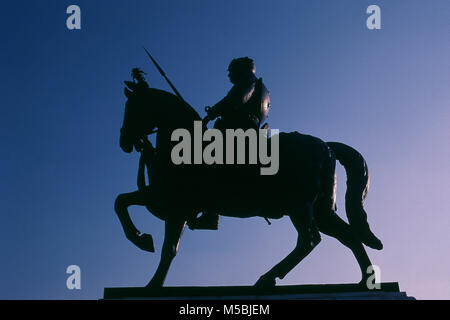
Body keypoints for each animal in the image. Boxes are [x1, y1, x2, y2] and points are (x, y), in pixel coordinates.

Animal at [114, 86, 382, 288]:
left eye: (133, 108)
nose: (124, 141)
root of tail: (326, 146)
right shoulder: (159, 199)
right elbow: (122, 201)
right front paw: (142, 240)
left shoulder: (174, 206)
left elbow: (166, 247)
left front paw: (149, 273)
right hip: (321, 210)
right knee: (348, 236)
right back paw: (365, 282)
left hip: (300, 206)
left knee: (309, 240)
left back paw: (267, 277)